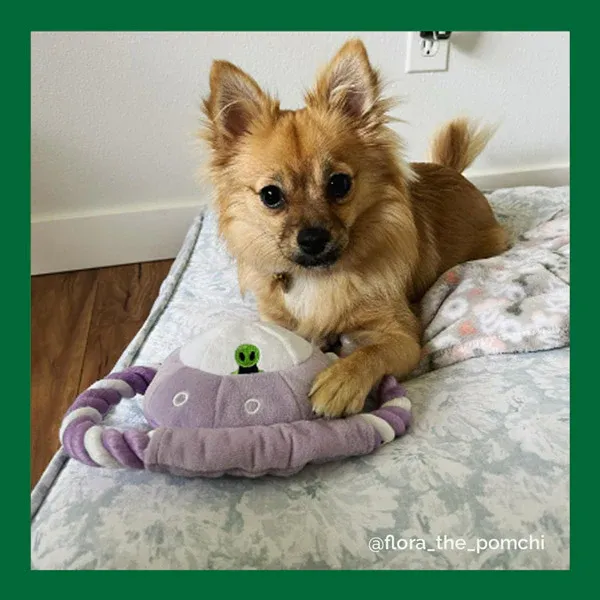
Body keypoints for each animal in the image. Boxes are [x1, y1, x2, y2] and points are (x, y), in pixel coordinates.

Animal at [200, 37, 506, 418]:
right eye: (271, 195)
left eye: (339, 184)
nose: (312, 239)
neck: (319, 277)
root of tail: (453, 171)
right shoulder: (277, 322)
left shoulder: (404, 338)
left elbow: (371, 351)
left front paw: (341, 380)